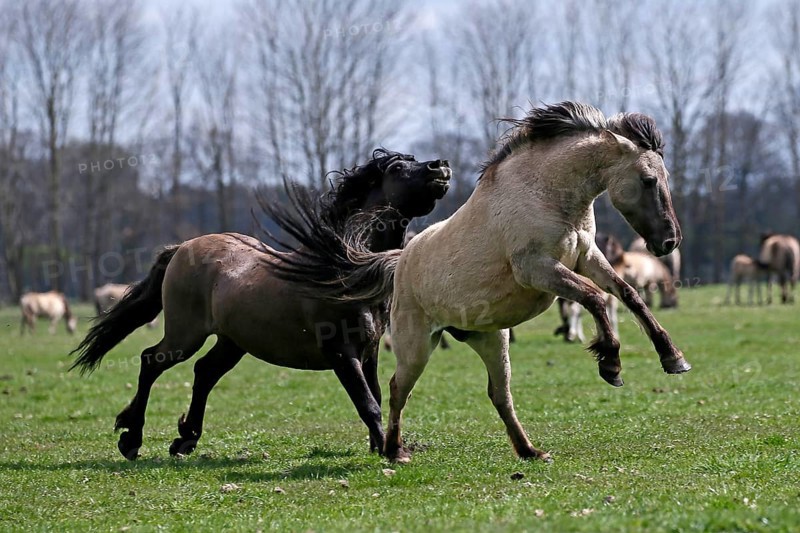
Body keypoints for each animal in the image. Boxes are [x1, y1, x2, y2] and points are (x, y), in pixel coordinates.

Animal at [70, 150, 451, 460]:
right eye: (398, 167)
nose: (441, 166)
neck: (343, 270)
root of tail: (180, 248)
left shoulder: (369, 352)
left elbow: (378, 397)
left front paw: (382, 445)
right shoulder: (342, 353)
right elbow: (368, 404)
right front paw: (390, 452)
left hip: (233, 341)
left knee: (204, 372)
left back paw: (185, 440)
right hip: (185, 335)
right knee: (152, 361)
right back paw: (131, 439)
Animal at [267, 102, 691, 463]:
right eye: (649, 180)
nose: (670, 240)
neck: (545, 194)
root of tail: (401, 260)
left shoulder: (587, 257)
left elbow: (629, 295)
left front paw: (673, 358)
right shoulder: (538, 268)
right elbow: (596, 299)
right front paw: (611, 364)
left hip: (492, 340)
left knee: (499, 395)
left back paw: (529, 451)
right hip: (417, 346)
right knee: (397, 387)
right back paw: (394, 451)